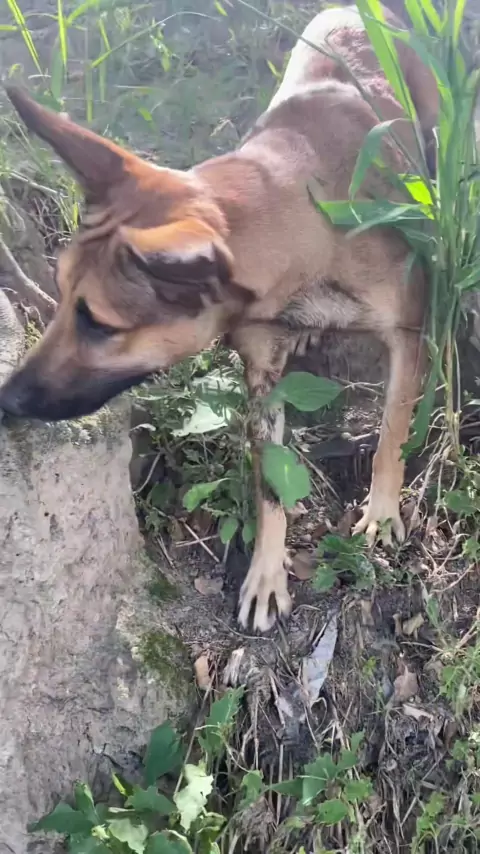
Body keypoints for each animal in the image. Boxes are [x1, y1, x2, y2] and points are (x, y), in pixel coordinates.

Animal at [0, 4, 438, 631]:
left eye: (100, 325)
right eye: (59, 298)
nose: (6, 400)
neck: (312, 220)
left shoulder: (408, 335)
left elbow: (393, 433)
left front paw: (380, 511)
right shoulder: (262, 380)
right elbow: (270, 486)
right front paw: (267, 574)